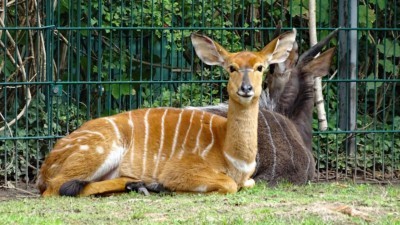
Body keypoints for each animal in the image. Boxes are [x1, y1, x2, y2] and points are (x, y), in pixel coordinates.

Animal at [36, 29, 296, 196]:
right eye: (231, 68)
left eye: (260, 67)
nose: (246, 88)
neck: (231, 152)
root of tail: (45, 167)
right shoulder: (180, 170)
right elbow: (230, 185)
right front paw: (163, 185)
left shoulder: (248, 178)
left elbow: (248, 183)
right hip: (102, 149)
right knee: (57, 187)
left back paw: (139, 186)